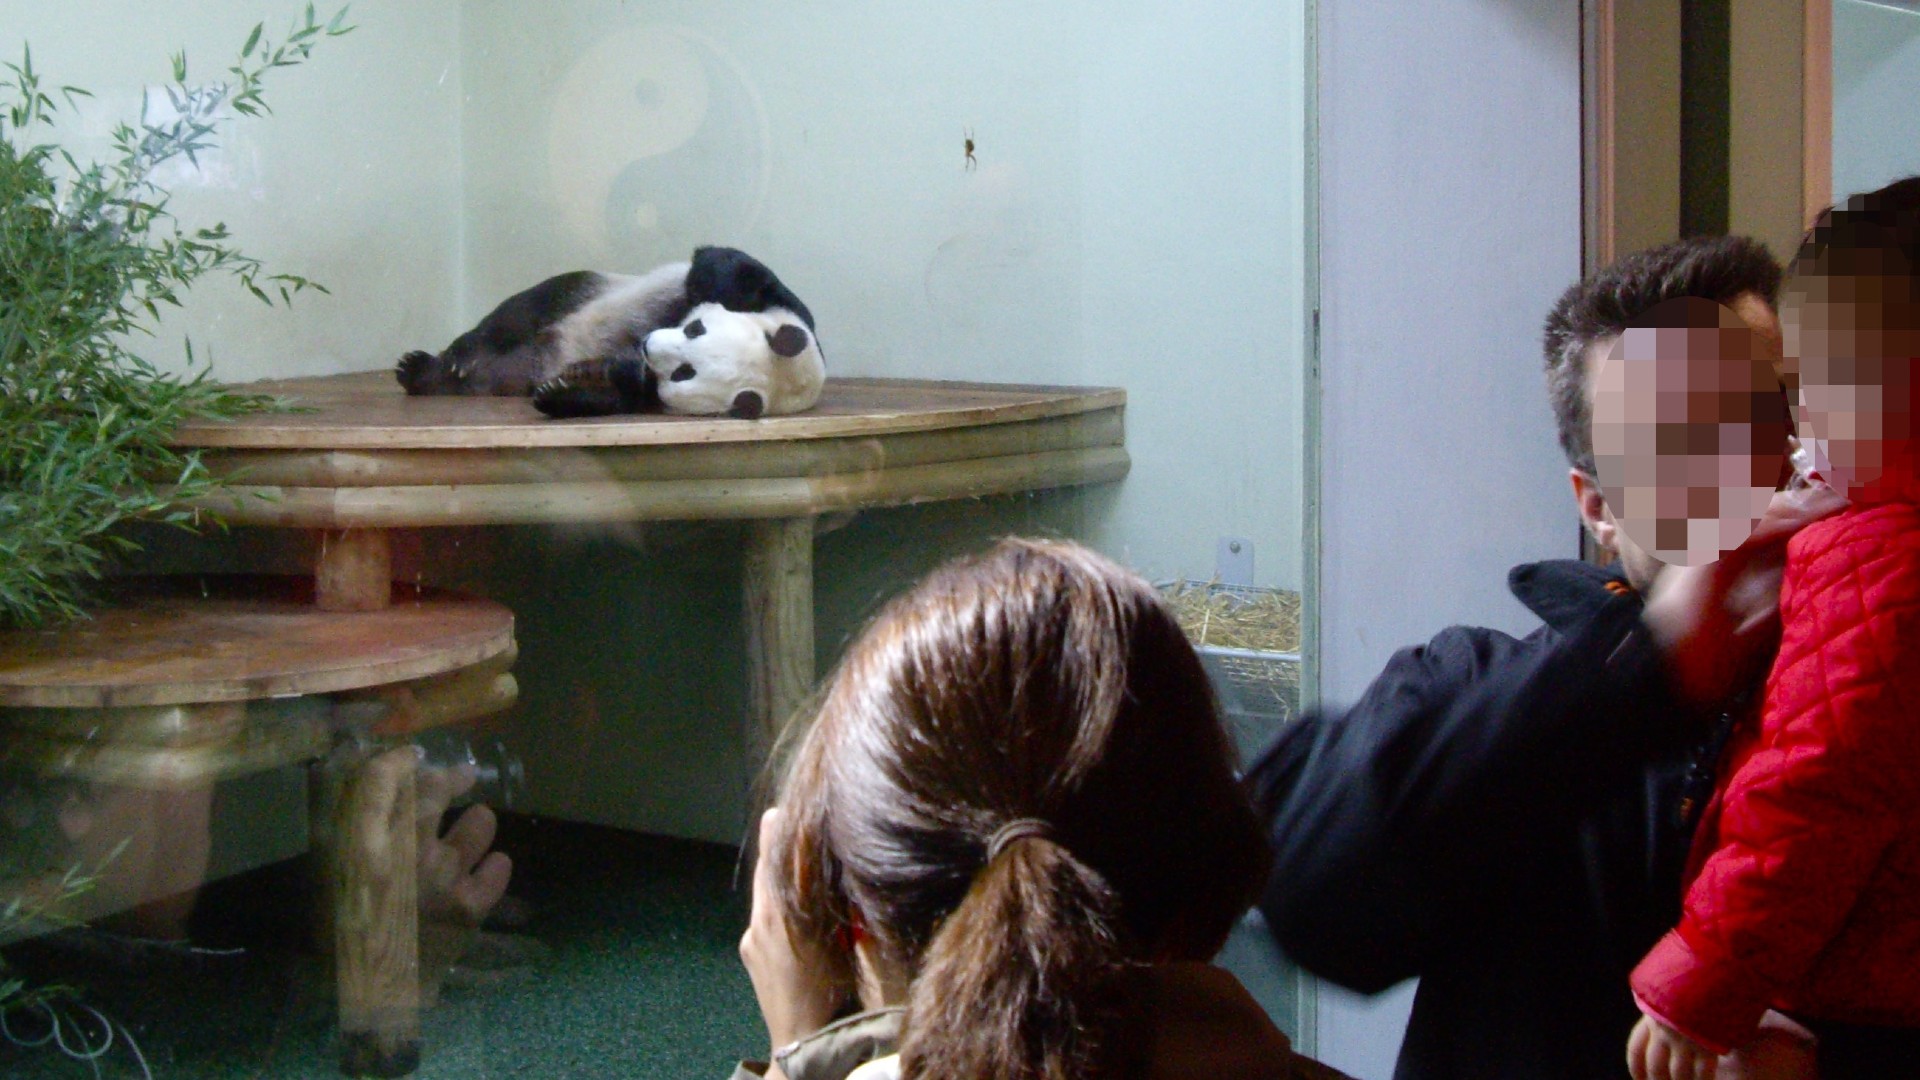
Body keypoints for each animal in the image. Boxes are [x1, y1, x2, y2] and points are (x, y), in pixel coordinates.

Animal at [397, 245, 825, 418]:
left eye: (683, 374)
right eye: (695, 328)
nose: (646, 346)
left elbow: (624, 394)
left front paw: (577, 382)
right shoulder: (783, 303)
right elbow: (724, 267)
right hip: (580, 291)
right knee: (512, 316)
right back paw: (435, 364)